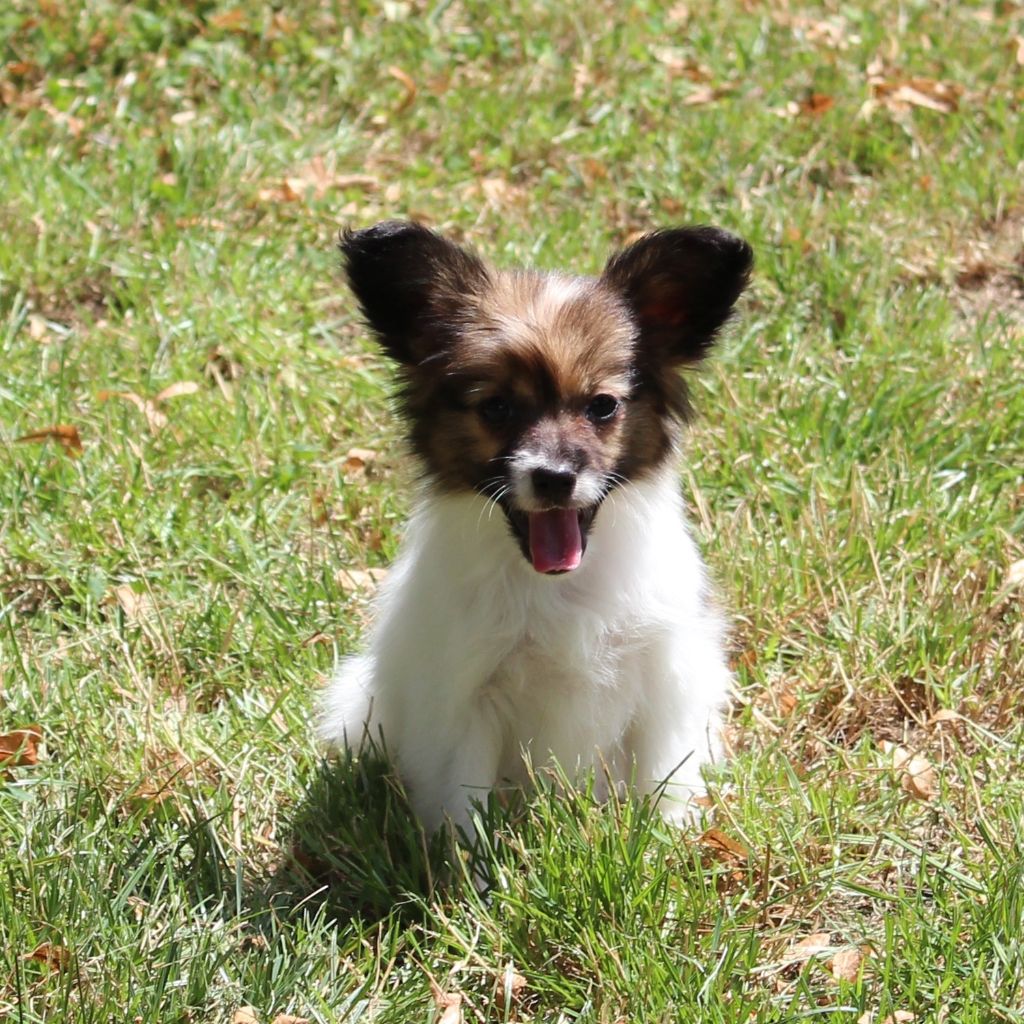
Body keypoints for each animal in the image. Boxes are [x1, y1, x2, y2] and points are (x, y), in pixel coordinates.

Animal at [321, 220, 752, 836]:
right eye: (497, 408)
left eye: (602, 406)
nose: (553, 478)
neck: (559, 587)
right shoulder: (466, 699)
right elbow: (464, 805)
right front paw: (470, 865)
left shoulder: (662, 681)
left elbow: (661, 781)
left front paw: (666, 844)